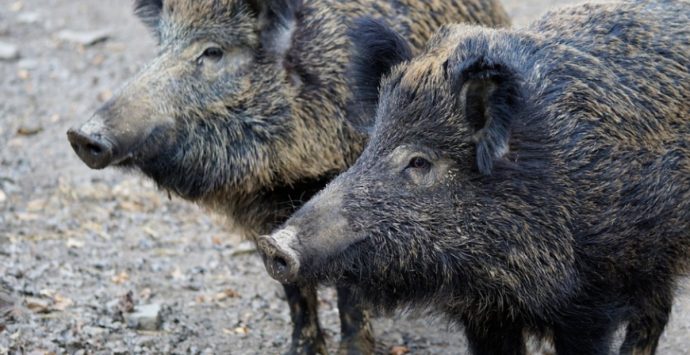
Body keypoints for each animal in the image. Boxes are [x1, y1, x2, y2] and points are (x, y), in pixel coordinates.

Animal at [64, 1, 508, 354]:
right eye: (162, 47)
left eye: (213, 51)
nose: (81, 135)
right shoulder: (267, 217)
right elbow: (294, 291)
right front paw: (302, 350)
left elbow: (348, 290)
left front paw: (354, 351)